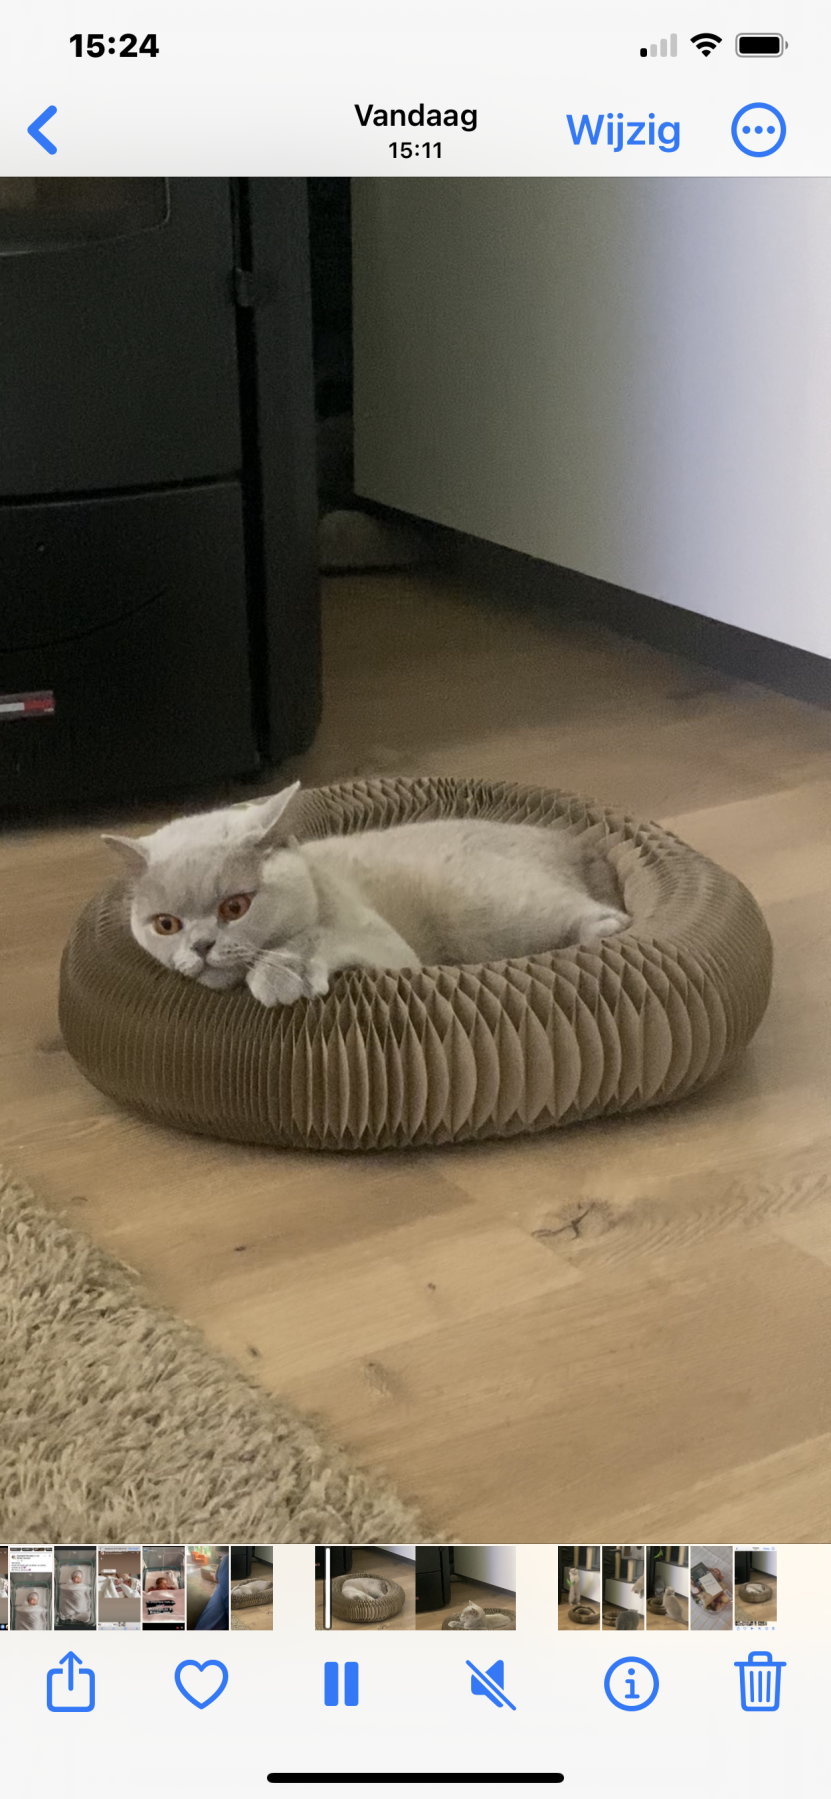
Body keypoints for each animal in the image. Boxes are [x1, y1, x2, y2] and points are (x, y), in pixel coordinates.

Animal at [102, 781, 629, 1008]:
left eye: (235, 907)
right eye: (166, 925)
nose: (200, 946)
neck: (318, 881)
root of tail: (575, 842)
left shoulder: (391, 950)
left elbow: (314, 936)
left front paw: (282, 972)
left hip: (495, 905)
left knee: (605, 918)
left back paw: (597, 932)